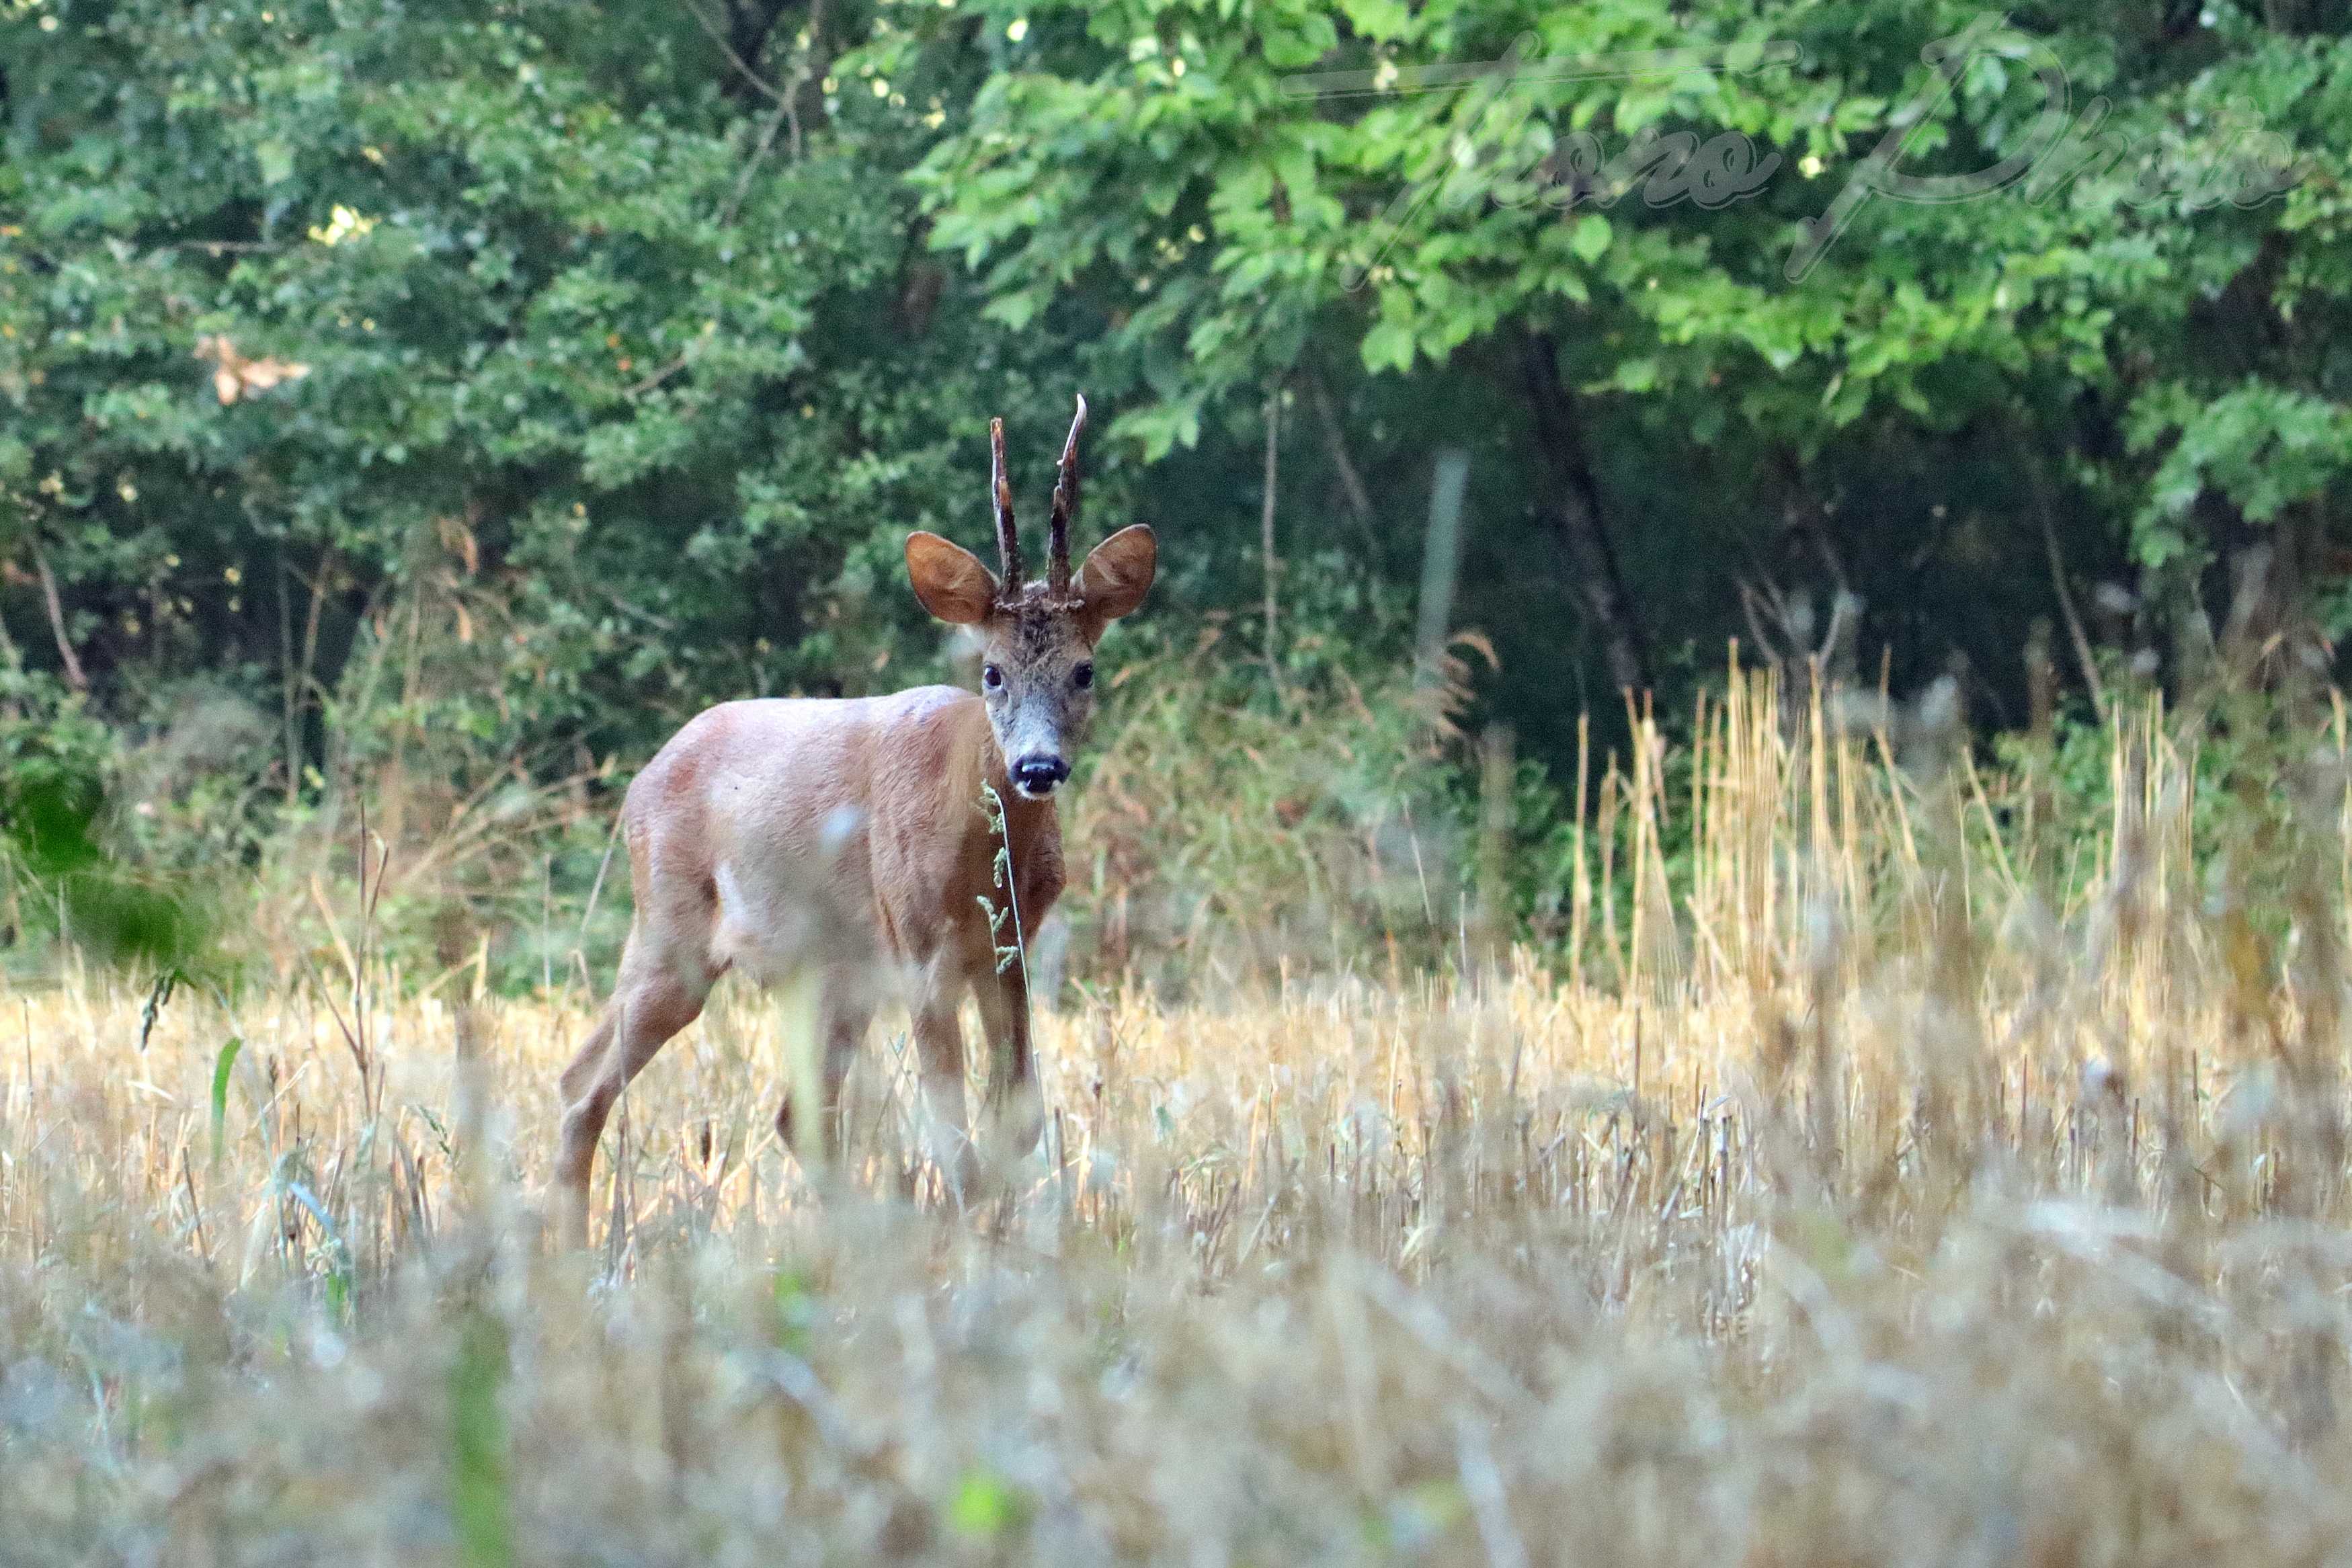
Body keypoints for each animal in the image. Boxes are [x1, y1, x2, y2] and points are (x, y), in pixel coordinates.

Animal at [540, 395, 1147, 1241]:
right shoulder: (921, 944)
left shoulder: (1009, 948)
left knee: (790, 1115)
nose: (1036, 766)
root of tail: (639, 783)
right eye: (992, 671)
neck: (984, 852)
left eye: (1084, 669)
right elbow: (952, 1129)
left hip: (827, 969)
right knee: (584, 1083)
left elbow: (1017, 1118)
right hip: (674, 927)